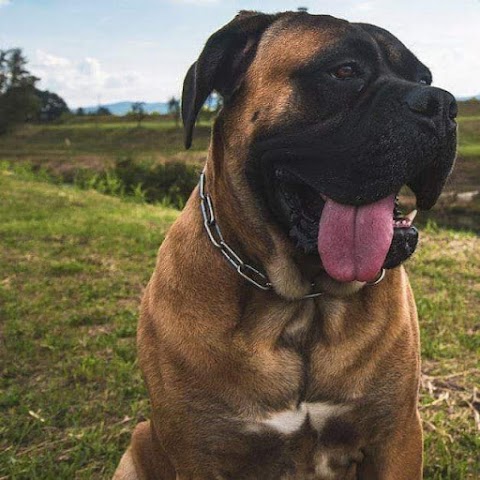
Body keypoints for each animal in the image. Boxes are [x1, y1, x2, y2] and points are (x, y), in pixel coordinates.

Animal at [113, 11, 458, 480]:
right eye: (344, 71)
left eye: (424, 78)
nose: (442, 104)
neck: (302, 306)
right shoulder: (199, 454)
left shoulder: (397, 437)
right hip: (138, 445)